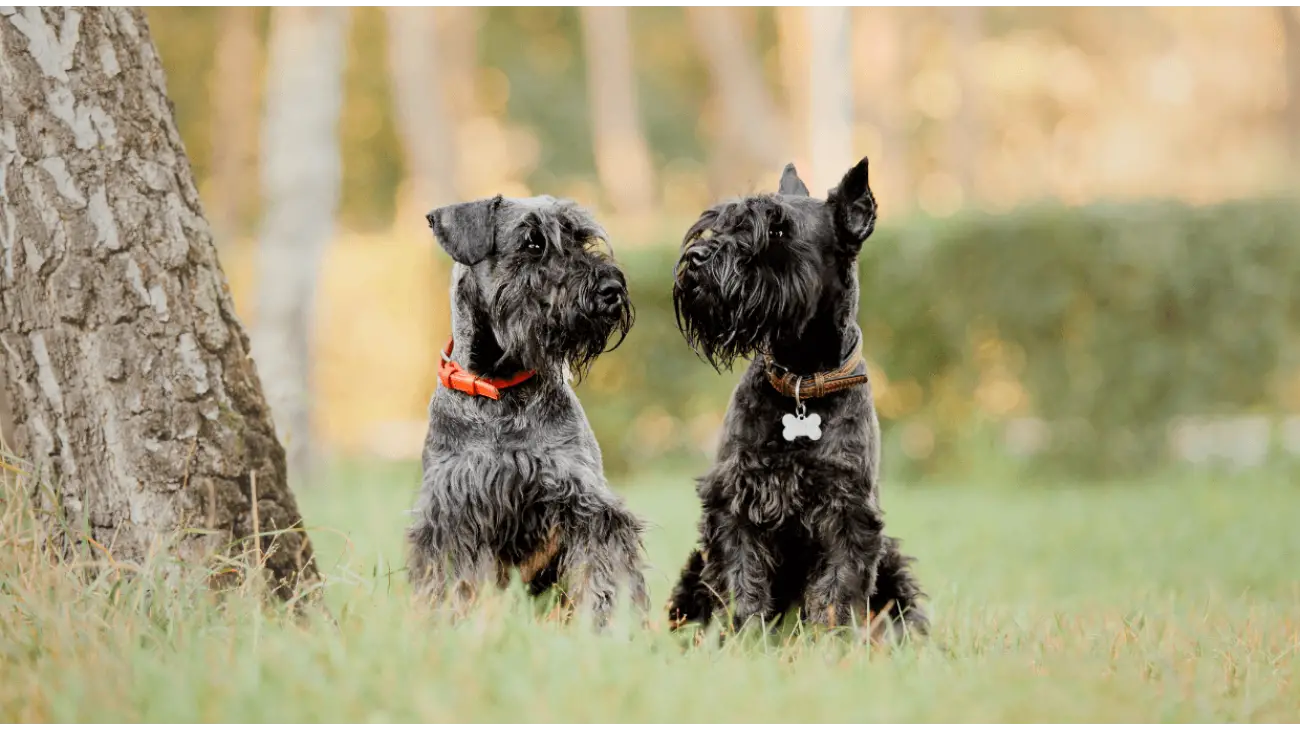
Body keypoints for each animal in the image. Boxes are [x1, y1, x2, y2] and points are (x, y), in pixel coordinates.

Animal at [405, 192, 650, 626]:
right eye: (533, 244)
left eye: (581, 238)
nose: (611, 288)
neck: (499, 387)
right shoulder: (451, 512)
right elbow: (449, 581)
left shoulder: (585, 502)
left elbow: (602, 571)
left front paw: (606, 625)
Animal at [665, 156, 930, 639]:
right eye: (722, 221)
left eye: (778, 230)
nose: (696, 258)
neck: (802, 380)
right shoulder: (736, 501)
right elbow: (741, 581)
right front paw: (742, 638)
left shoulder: (848, 513)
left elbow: (836, 592)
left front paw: (832, 643)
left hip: (891, 560)